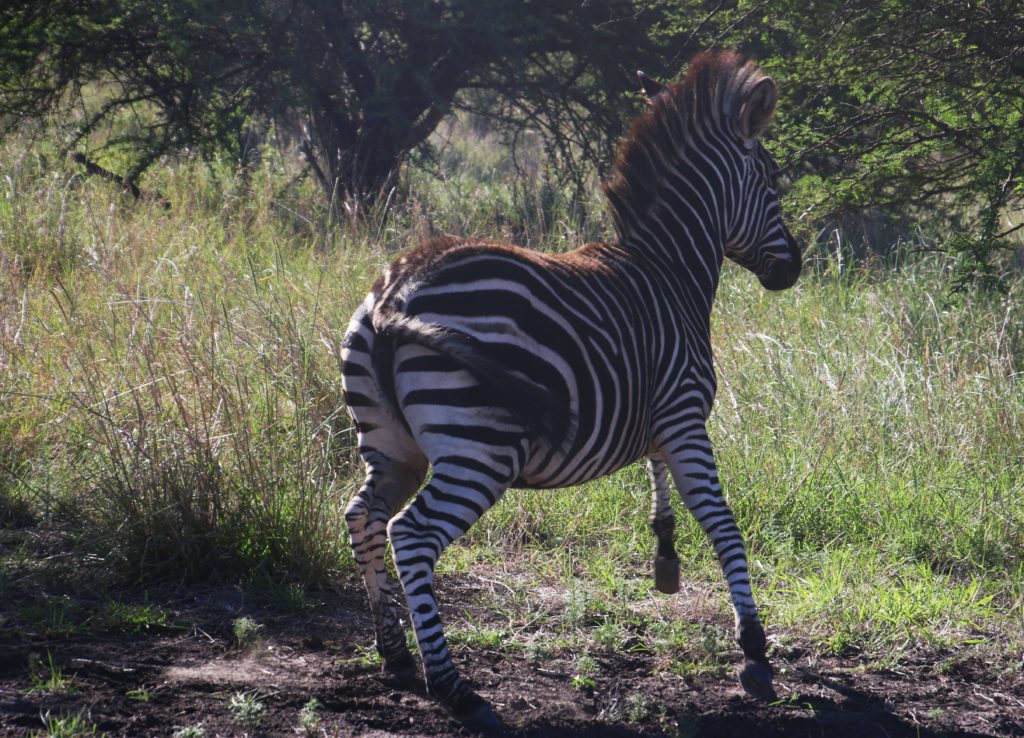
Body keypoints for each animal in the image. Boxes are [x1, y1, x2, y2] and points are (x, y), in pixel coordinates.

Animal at [340, 50, 801, 730]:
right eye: (772, 183)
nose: (791, 269)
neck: (671, 269)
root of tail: (394, 293)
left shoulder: (659, 417)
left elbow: (663, 488)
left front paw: (666, 561)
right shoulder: (686, 414)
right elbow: (722, 521)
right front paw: (754, 652)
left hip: (392, 446)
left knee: (364, 517)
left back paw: (394, 654)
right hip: (478, 448)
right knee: (412, 535)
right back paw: (454, 688)